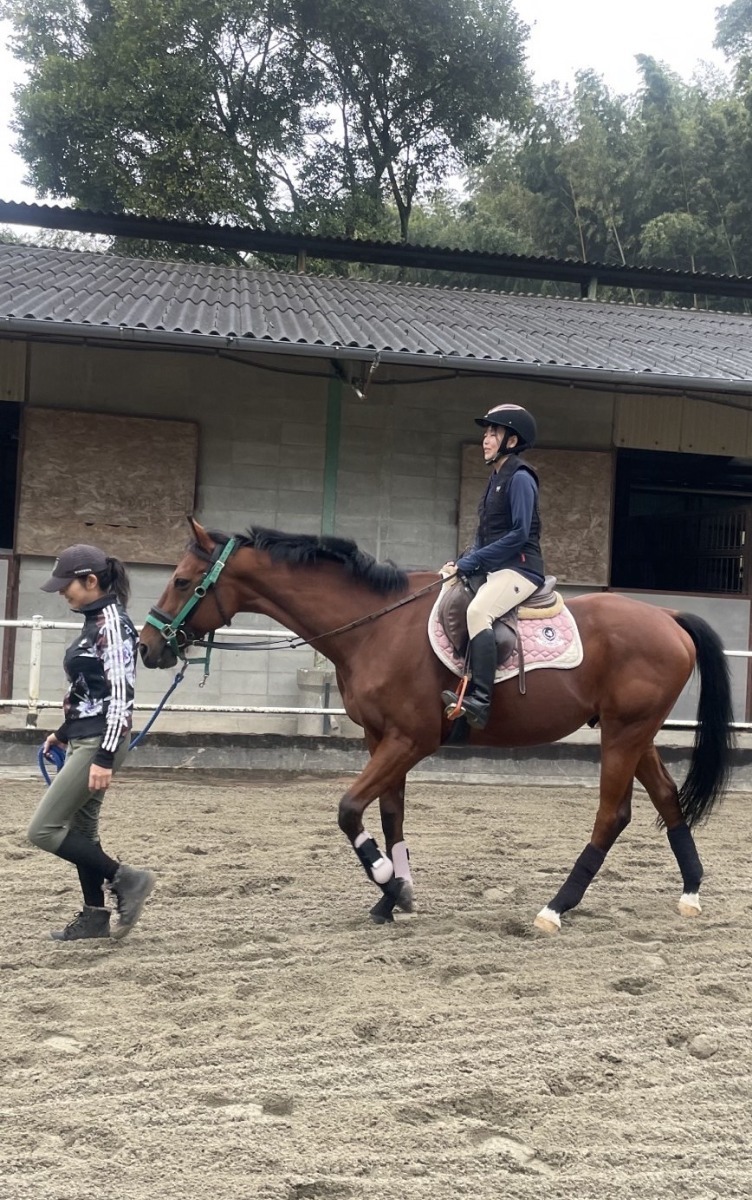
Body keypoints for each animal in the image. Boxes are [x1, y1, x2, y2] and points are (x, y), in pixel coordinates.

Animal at [138, 518, 734, 926]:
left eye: (184, 581)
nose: (147, 647)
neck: (375, 627)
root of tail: (667, 617)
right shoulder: (381, 738)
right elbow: (389, 816)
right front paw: (391, 897)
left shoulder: (411, 738)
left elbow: (348, 809)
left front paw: (389, 883)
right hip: (634, 733)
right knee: (665, 797)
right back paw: (690, 892)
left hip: (624, 734)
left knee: (613, 816)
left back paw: (555, 908)